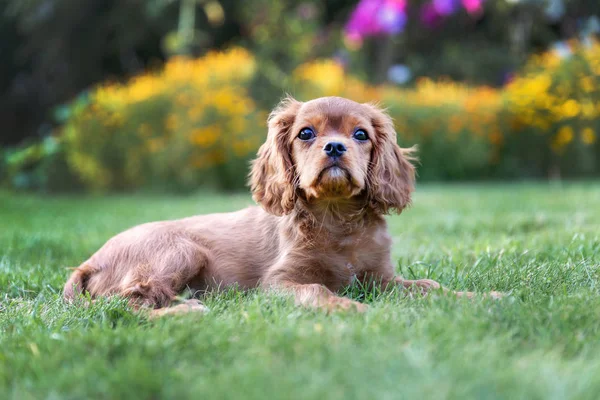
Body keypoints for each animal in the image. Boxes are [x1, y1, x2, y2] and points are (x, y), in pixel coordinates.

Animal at [62, 97, 502, 316]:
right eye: (306, 133)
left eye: (360, 134)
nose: (335, 147)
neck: (336, 218)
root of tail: (88, 262)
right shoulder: (277, 285)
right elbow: (317, 290)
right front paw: (349, 308)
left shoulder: (381, 280)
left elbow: (429, 287)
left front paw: (480, 298)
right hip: (178, 250)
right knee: (125, 303)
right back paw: (185, 312)